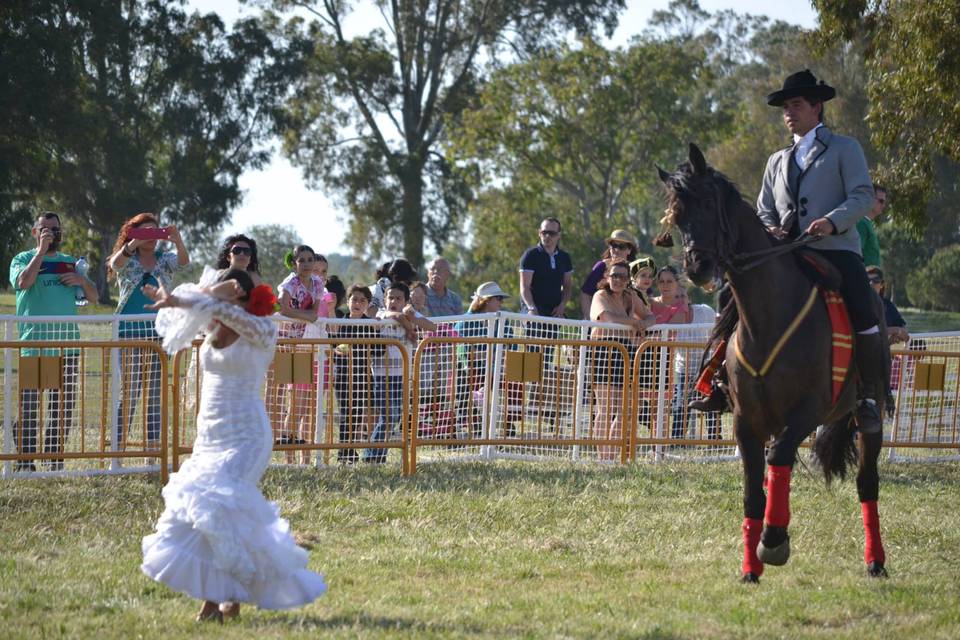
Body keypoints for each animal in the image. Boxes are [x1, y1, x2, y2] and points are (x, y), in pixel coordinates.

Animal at [656, 145, 888, 584]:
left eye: (708, 203)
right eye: (677, 214)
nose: (697, 267)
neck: (769, 315)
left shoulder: (808, 411)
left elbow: (779, 458)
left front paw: (775, 541)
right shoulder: (746, 420)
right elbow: (753, 491)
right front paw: (751, 566)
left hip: (868, 419)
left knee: (867, 484)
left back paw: (876, 561)